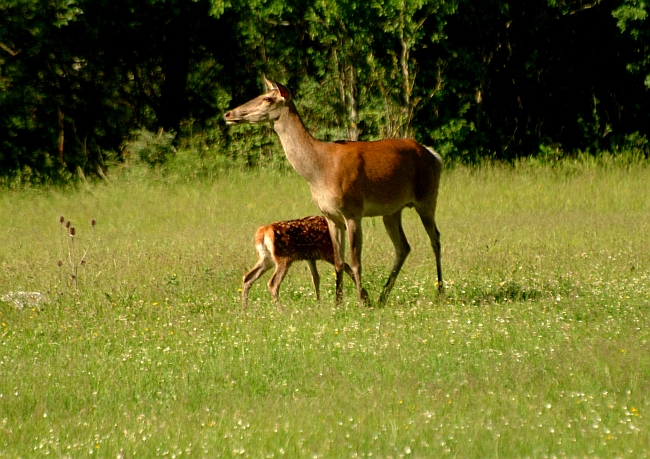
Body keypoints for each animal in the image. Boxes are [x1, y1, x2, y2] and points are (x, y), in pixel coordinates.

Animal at [223, 77, 440, 304]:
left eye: (267, 98)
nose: (228, 114)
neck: (319, 171)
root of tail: (434, 155)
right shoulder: (330, 215)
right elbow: (338, 260)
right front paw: (338, 302)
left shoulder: (353, 211)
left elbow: (355, 261)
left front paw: (360, 301)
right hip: (392, 210)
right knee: (403, 247)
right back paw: (383, 297)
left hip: (427, 197)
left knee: (435, 239)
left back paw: (440, 292)